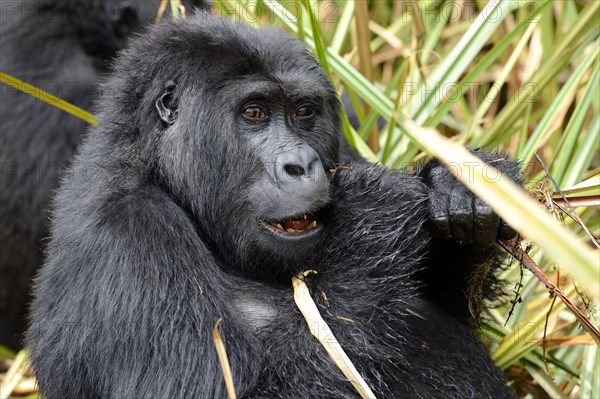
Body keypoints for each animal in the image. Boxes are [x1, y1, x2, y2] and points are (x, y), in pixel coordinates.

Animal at [25, 10, 516, 398]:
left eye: (304, 112)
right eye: (255, 113)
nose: (301, 164)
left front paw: (460, 190)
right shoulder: (129, 234)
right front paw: (369, 222)